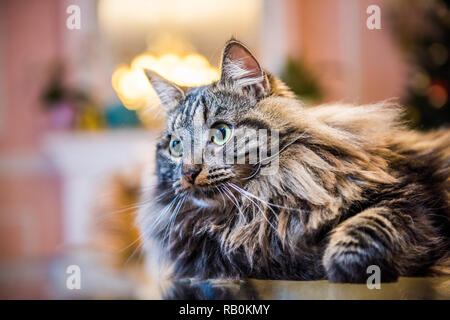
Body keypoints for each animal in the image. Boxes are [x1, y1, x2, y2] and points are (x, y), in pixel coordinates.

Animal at [138, 38, 450, 282]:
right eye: (176, 146)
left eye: (221, 133)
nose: (188, 172)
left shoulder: (409, 197)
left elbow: (368, 224)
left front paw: (343, 267)